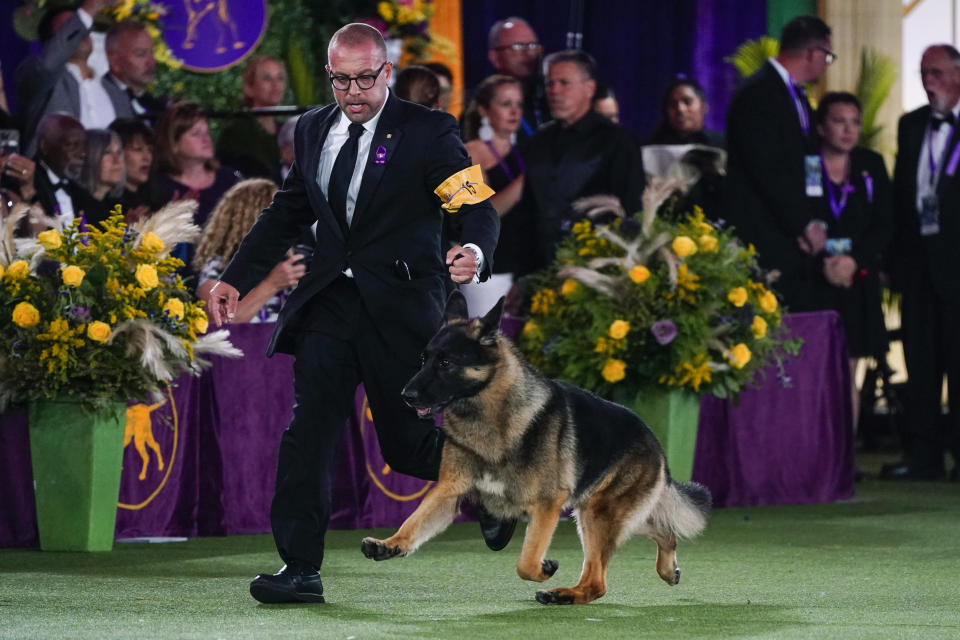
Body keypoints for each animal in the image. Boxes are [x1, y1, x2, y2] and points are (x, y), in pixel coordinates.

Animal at [362, 292, 712, 604]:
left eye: (445, 363)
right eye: (424, 360)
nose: (405, 395)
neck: (492, 413)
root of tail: (654, 441)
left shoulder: (547, 506)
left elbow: (526, 563)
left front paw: (544, 568)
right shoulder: (449, 490)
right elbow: (414, 522)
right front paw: (391, 543)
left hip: (598, 512)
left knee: (597, 581)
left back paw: (564, 594)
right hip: (602, 512)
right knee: (660, 532)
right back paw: (665, 569)